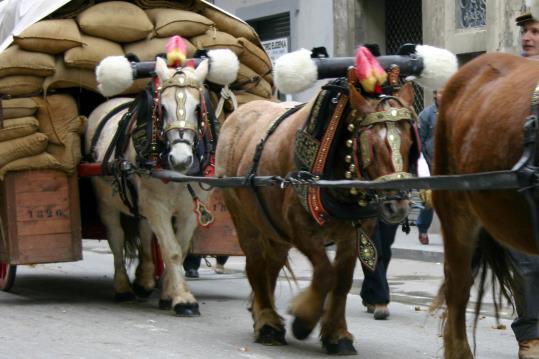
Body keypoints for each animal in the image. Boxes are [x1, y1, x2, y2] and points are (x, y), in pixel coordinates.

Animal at [86, 52, 236, 316]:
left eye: (198, 107)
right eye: (162, 108)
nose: (181, 159)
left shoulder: (189, 211)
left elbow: (180, 248)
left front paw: (169, 293)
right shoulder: (157, 206)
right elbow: (172, 251)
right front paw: (184, 300)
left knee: (145, 233)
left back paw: (144, 279)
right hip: (107, 204)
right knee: (116, 239)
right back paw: (123, 288)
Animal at [215, 70, 418, 354]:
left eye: (410, 143)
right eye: (372, 147)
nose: (397, 206)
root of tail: (238, 114)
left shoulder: (353, 234)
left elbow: (342, 281)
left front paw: (337, 334)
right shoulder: (300, 230)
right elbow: (324, 273)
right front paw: (303, 320)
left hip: (273, 229)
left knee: (271, 265)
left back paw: (263, 314)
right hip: (243, 218)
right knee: (255, 264)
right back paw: (267, 323)